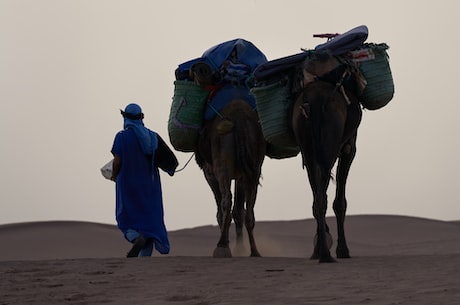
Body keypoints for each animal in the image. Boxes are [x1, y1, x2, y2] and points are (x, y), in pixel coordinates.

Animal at [195, 98, 266, 255]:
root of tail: (239, 117)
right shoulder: (240, 175)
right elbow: (238, 211)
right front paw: (239, 248)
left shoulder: (209, 172)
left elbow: (220, 211)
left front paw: (228, 245)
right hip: (254, 164)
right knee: (249, 209)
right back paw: (254, 251)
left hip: (222, 162)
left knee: (226, 200)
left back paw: (221, 247)